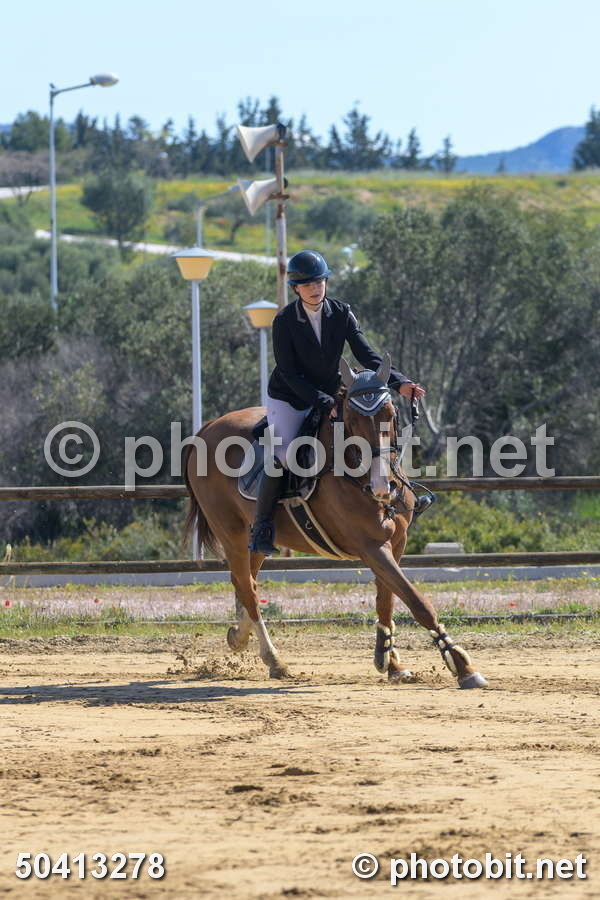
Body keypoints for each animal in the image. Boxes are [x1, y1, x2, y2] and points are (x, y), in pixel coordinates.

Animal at [184, 355, 487, 690]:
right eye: (352, 420)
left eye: (392, 415)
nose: (383, 487)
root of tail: (207, 429)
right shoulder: (371, 547)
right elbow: (417, 601)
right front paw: (462, 666)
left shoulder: (395, 544)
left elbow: (387, 599)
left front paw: (390, 661)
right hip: (232, 534)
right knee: (248, 590)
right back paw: (274, 660)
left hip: (256, 539)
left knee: (244, 581)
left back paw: (239, 636)